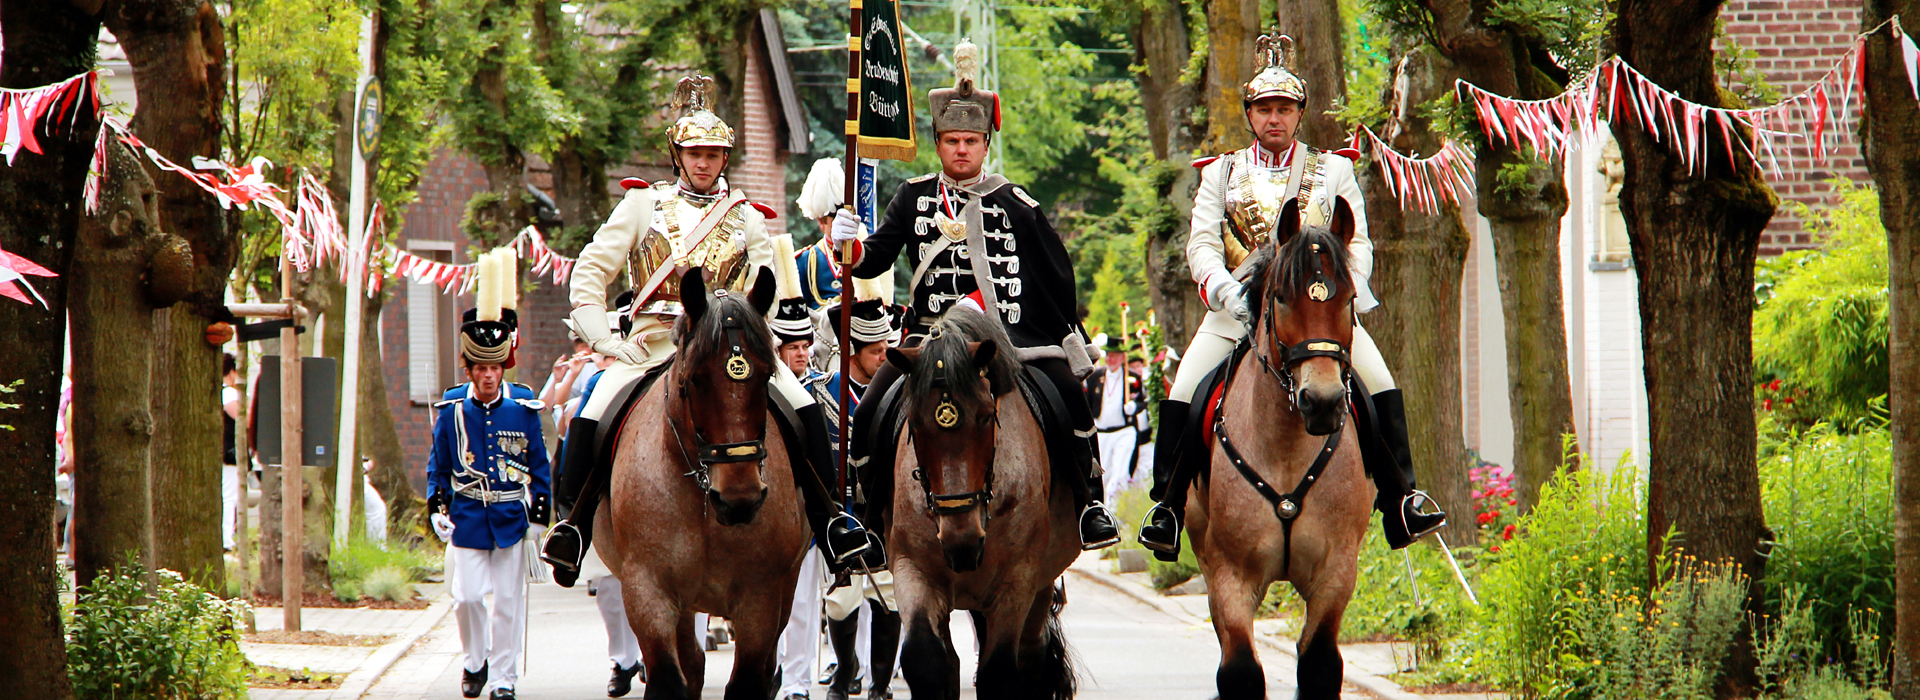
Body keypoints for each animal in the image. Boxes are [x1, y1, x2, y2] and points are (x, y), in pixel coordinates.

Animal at [599, 266, 810, 698]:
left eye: (767, 375)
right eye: (696, 379)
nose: (739, 499)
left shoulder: (761, 595)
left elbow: (749, 680)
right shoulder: (647, 589)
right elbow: (668, 678)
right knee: (692, 664)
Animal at [879, 308, 1090, 698]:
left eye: (986, 415)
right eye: (914, 421)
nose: (961, 542)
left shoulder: (1017, 580)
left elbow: (1001, 672)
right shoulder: (912, 569)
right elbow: (926, 660)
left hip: (1038, 584)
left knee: (1032, 654)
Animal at [1190, 197, 1374, 698]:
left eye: (1349, 299)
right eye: (1281, 298)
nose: (1323, 402)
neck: (1288, 448)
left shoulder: (1336, 574)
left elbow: (1318, 665)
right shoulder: (1230, 576)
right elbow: (1239, 670)